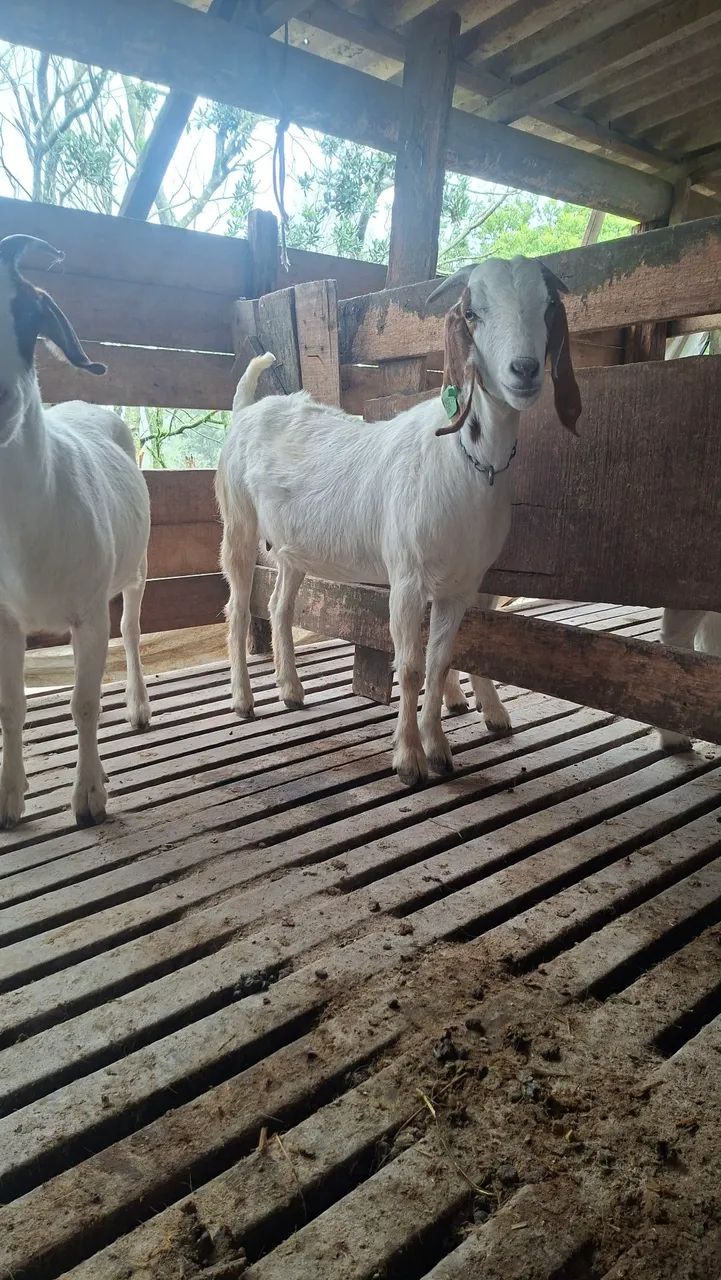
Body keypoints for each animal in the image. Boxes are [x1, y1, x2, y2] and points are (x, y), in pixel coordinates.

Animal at [0, 235, 151, 829]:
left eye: (28, 314)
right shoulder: (3, 622)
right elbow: (11, 706)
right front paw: (10, 799)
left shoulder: (87, 616)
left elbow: (84, 703)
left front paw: (88, 798)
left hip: (133, 572)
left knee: (130, 632)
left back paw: (138, 708)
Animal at [217, 256, 581, 786]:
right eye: (473, 314)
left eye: (548, 307)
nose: (525, 370)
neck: (462, 459)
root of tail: (248, 407)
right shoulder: (407, 578)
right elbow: (408, 667)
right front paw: (409, 759)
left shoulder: (460, 586)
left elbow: (438, 662)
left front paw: (440, 749)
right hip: (238, 523)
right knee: (240, 606)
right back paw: (244, 701)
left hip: (291, 546)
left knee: (281, 606)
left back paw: (291, 689)